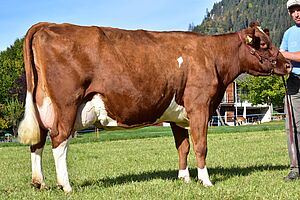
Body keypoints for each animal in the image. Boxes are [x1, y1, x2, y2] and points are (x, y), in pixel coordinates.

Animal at [17, 22, 290, 192]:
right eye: (263, 44)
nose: (287, 65)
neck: (211, 56)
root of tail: (47, 25)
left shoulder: (178, 115)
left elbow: (183, 147)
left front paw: (184, 179)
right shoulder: (200, 106)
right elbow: (200, 146)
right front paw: (205, 181)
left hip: (42, 105)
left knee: (38, 141)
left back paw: (39, 183)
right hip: (66, 104)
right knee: (59, 140)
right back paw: (66, 185)